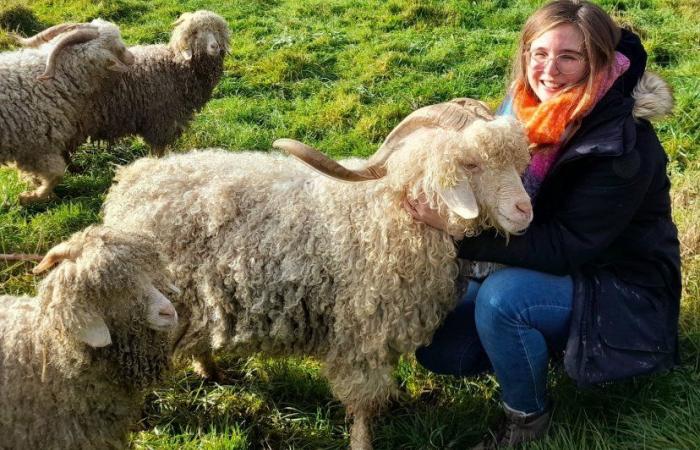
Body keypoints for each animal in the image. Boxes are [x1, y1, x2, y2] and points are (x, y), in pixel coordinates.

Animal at [102, 99, 532, 450]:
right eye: (471, 164)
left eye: (516, 161)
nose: (525, 211)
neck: (389, 211)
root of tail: (128, 185)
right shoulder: (360, 335)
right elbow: (364, 401)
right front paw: (363, 442)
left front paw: (396, 402)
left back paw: (212, 371)